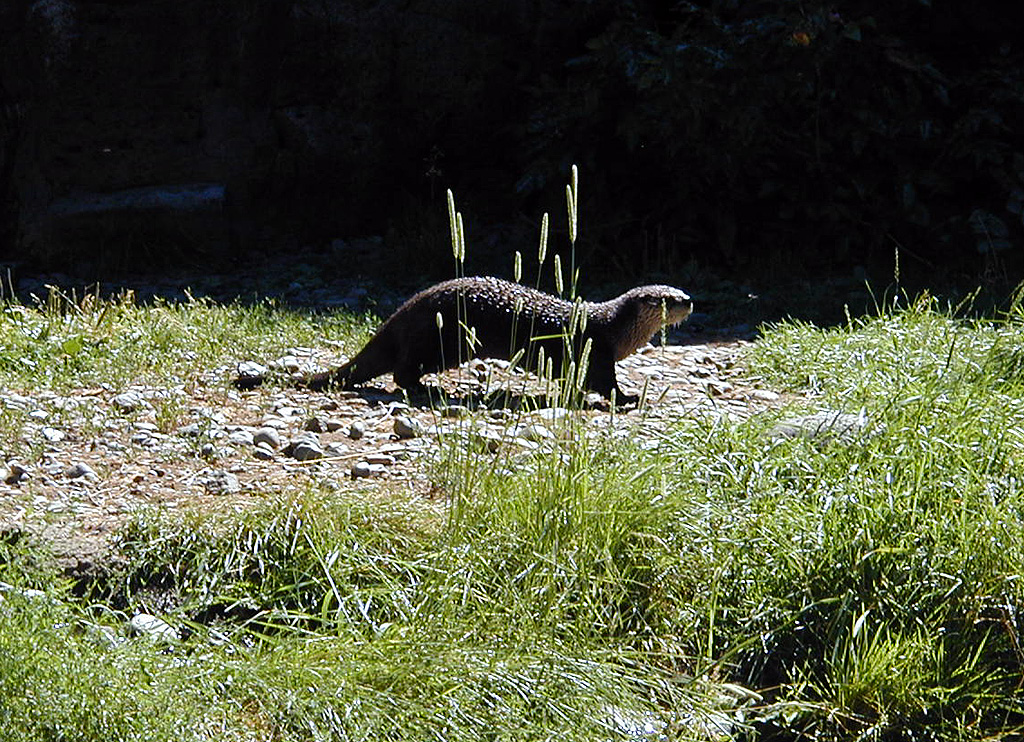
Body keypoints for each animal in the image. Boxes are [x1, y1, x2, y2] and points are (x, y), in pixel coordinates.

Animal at [235, 277, 692, 402]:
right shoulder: (597, 352)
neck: (613, 327)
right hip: (437, 343)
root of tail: (398, 315)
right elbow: (602, 385)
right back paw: (428, 389)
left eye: (681, 292)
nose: (689, 300)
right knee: (402, 372)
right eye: (668, 300)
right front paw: (629, 398)